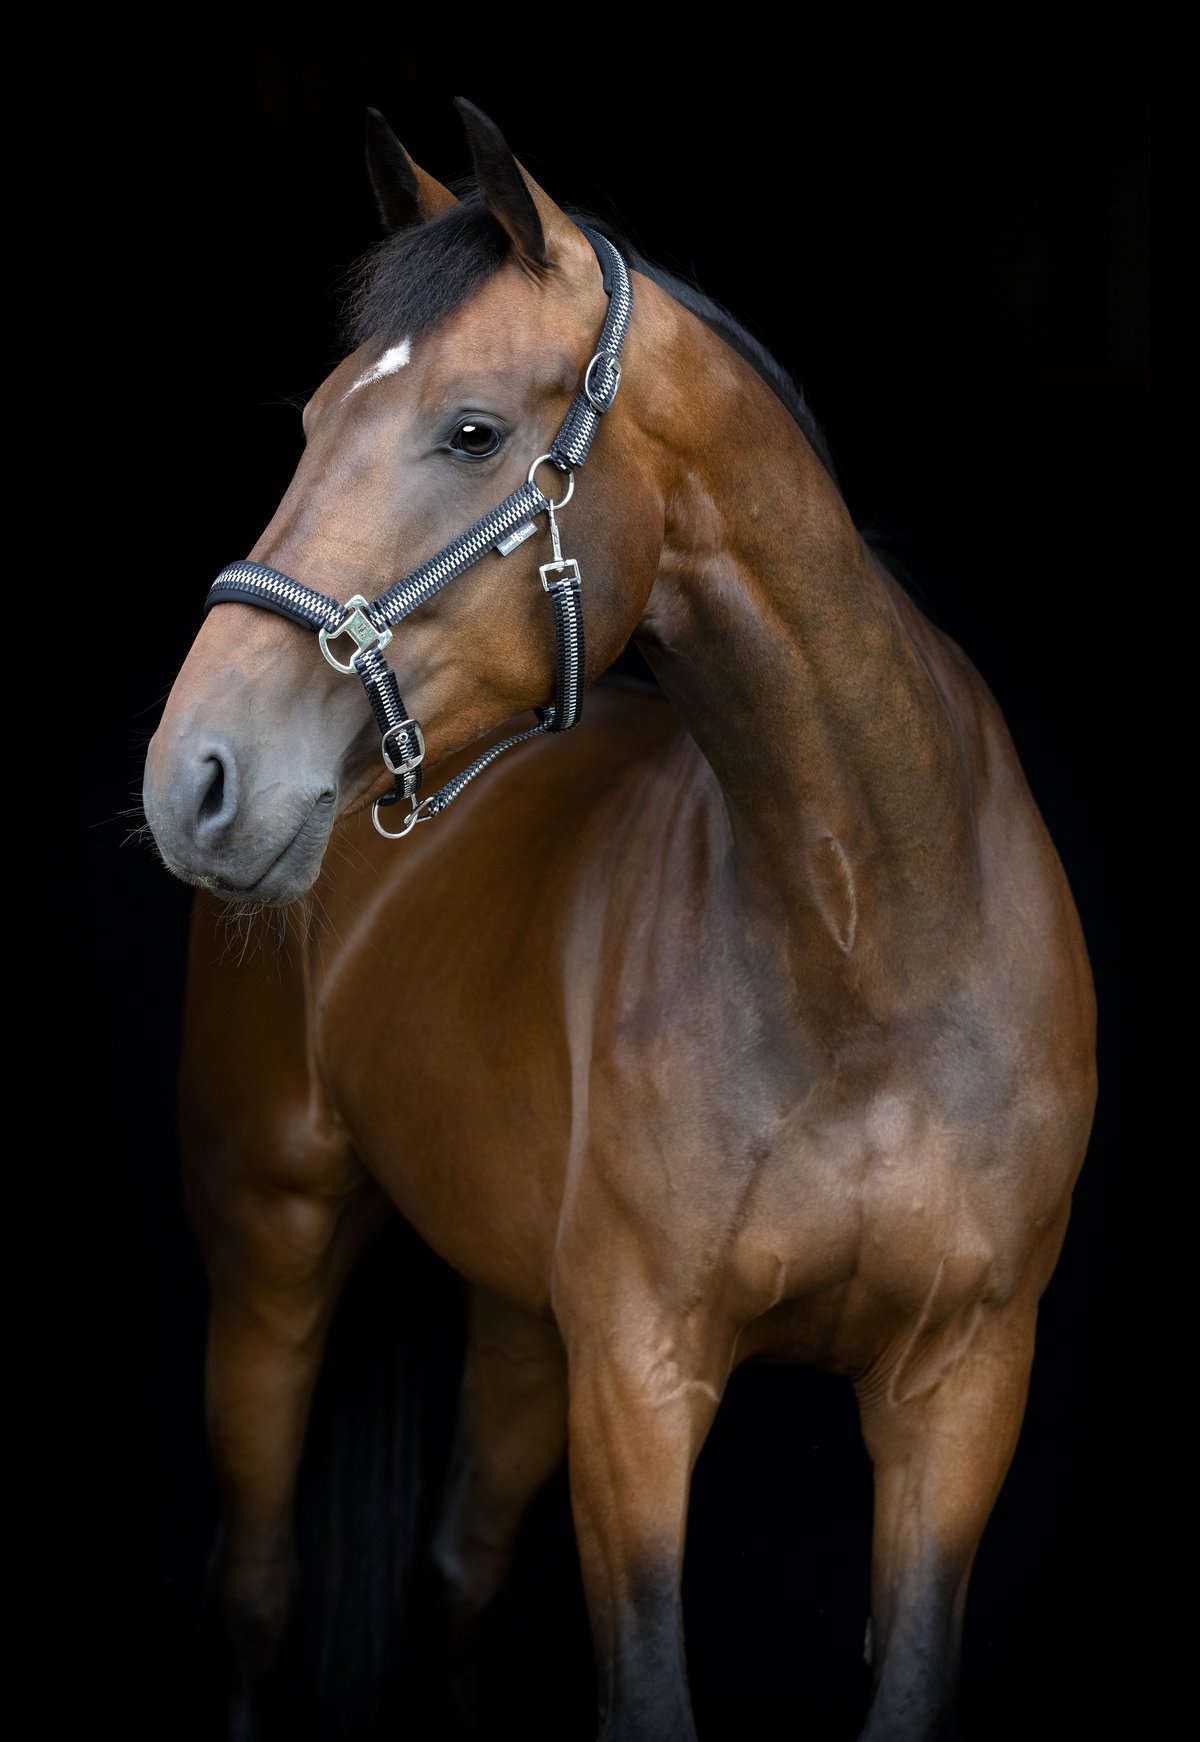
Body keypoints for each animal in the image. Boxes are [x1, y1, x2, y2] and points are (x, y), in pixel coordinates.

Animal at [141, 96, 1098, 1741]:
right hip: (272, 1244)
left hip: (523, 1322)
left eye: (471, 429)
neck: (871, 949)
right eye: (313, 416)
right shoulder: (642, 1381)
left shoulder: (963, 1387)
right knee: (255, 1592)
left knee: (457, 1569)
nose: (194, 774)